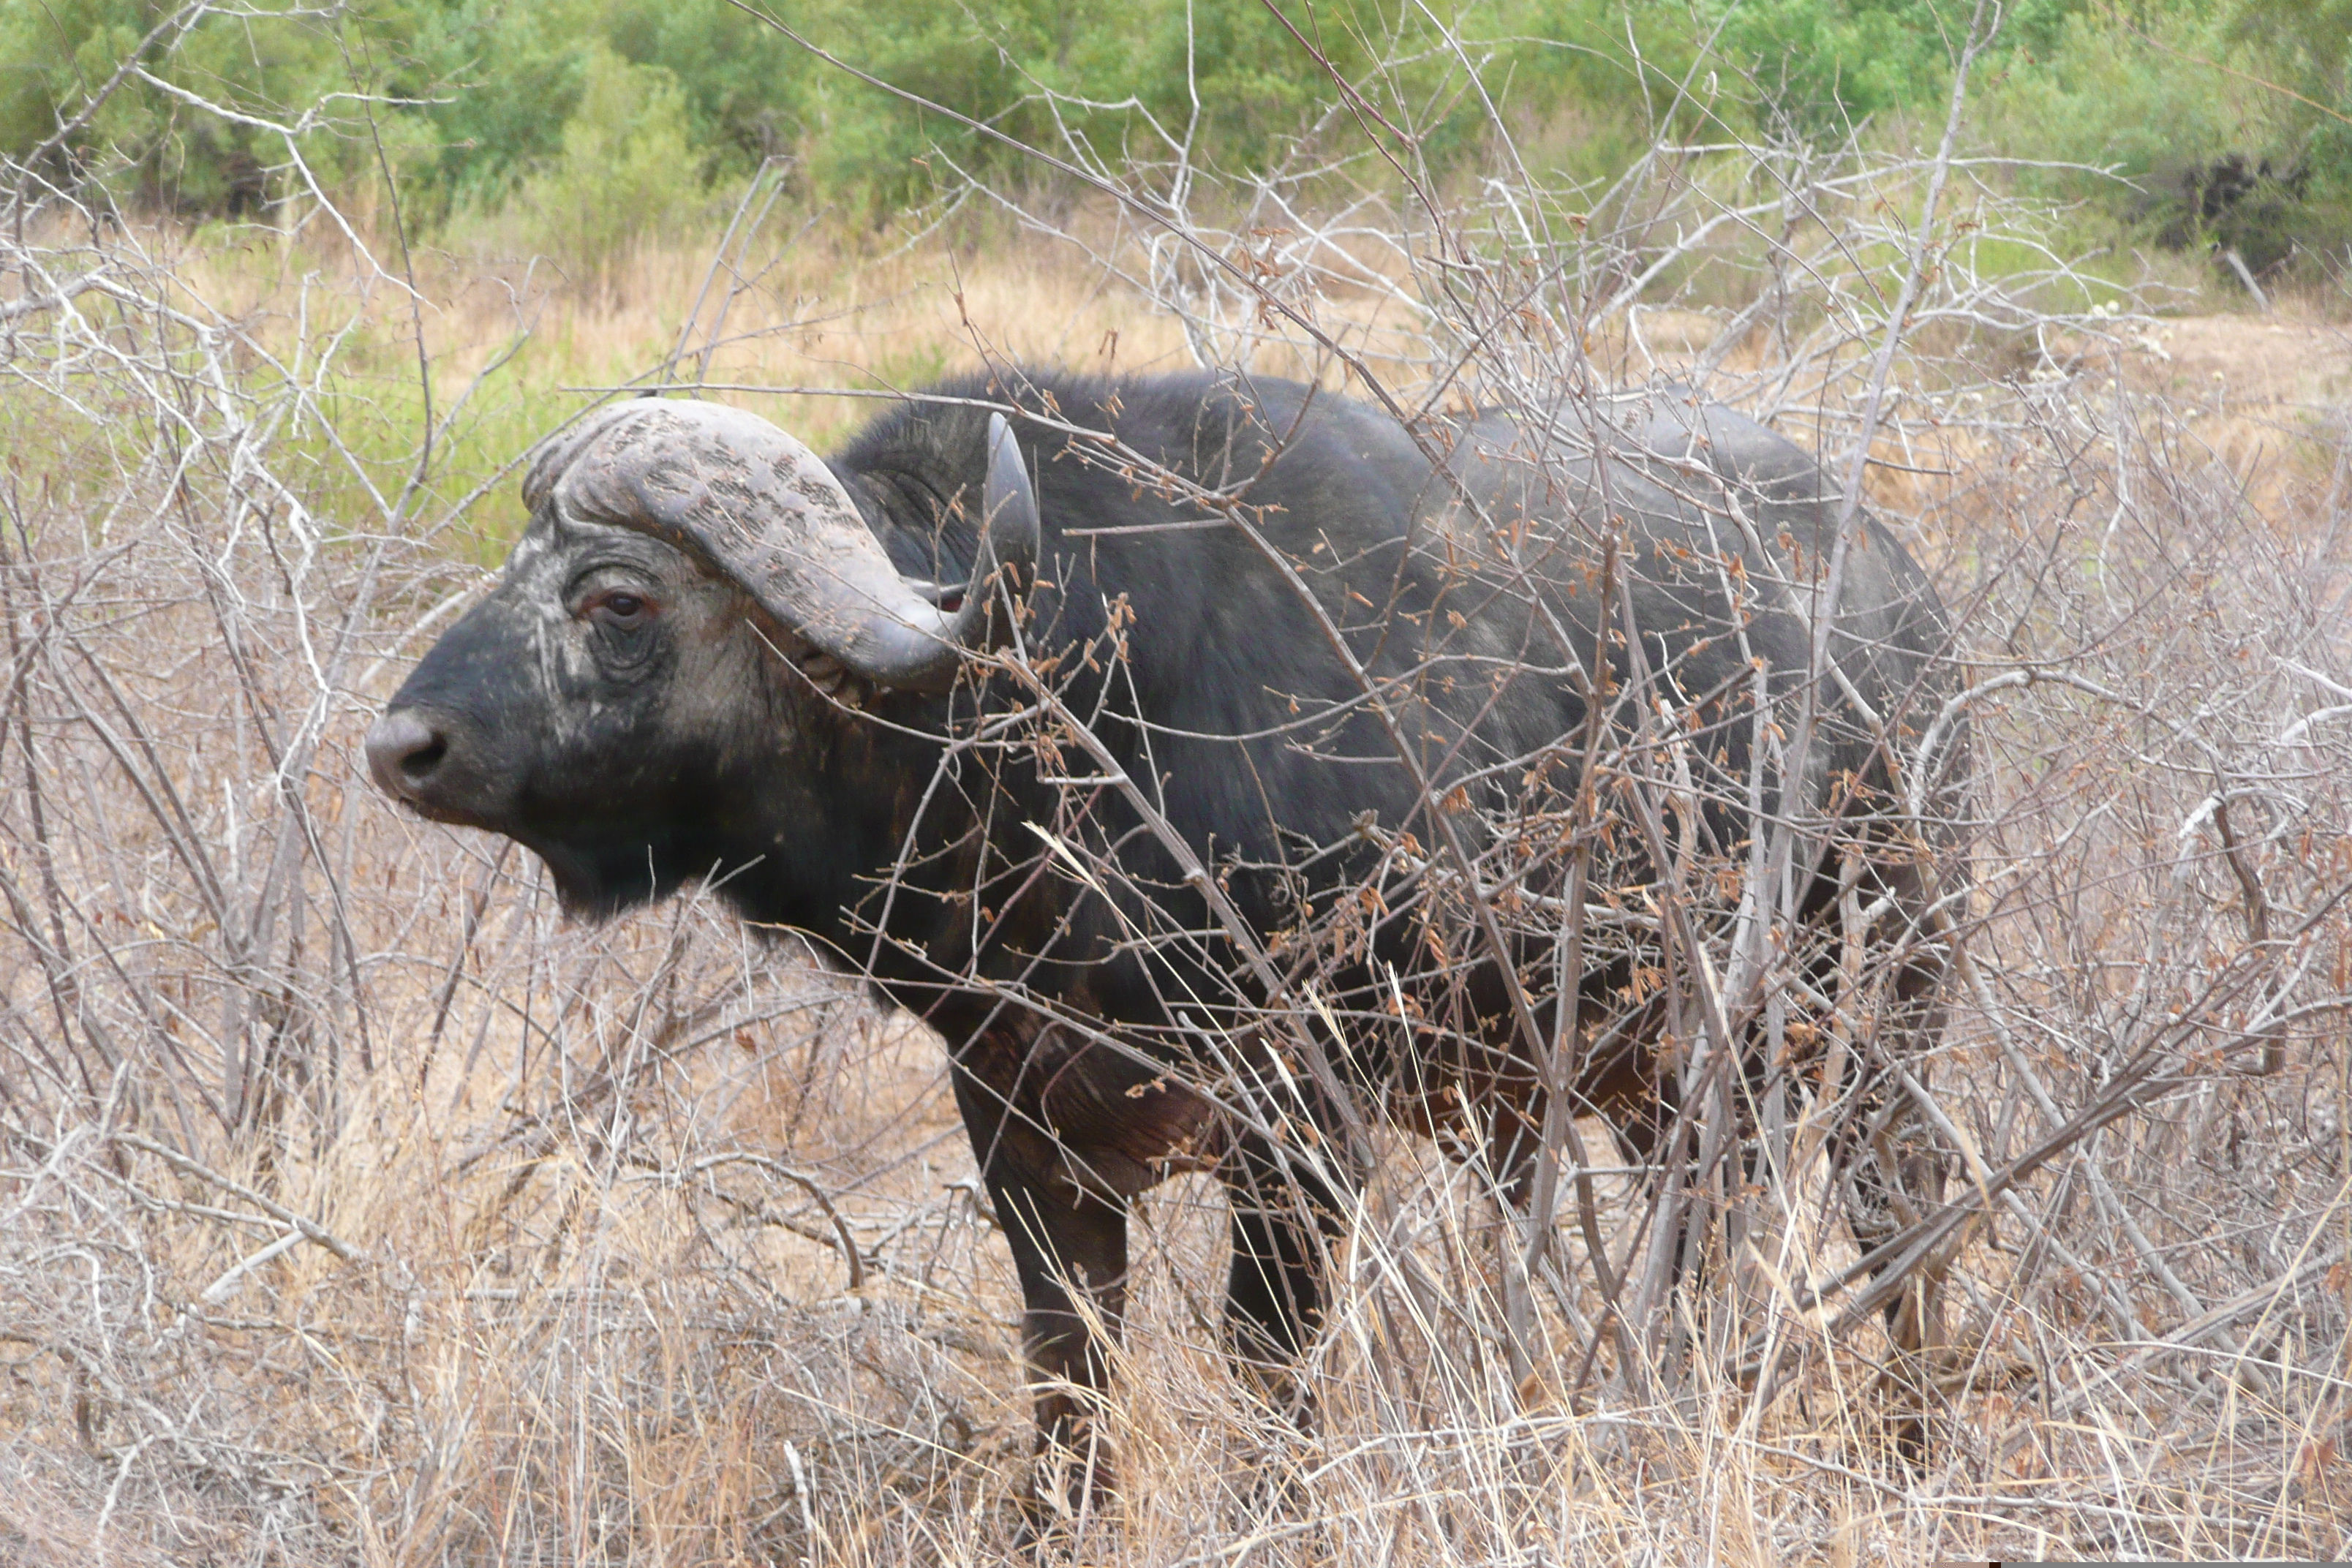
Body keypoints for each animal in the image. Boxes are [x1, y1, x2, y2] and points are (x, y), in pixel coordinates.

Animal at [366, 369, 1966, 1523]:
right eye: (520, 559)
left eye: (618, 598)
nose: (402, 746)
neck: (1055, 719)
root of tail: (1900, 601)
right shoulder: (1023, 1132)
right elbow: (1070, 1382)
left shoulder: (1302, 1138)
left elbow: (1268, 1381)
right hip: (1674, 1085)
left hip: (1886, 1015)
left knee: (1902, 1216)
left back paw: (1910, 1443)